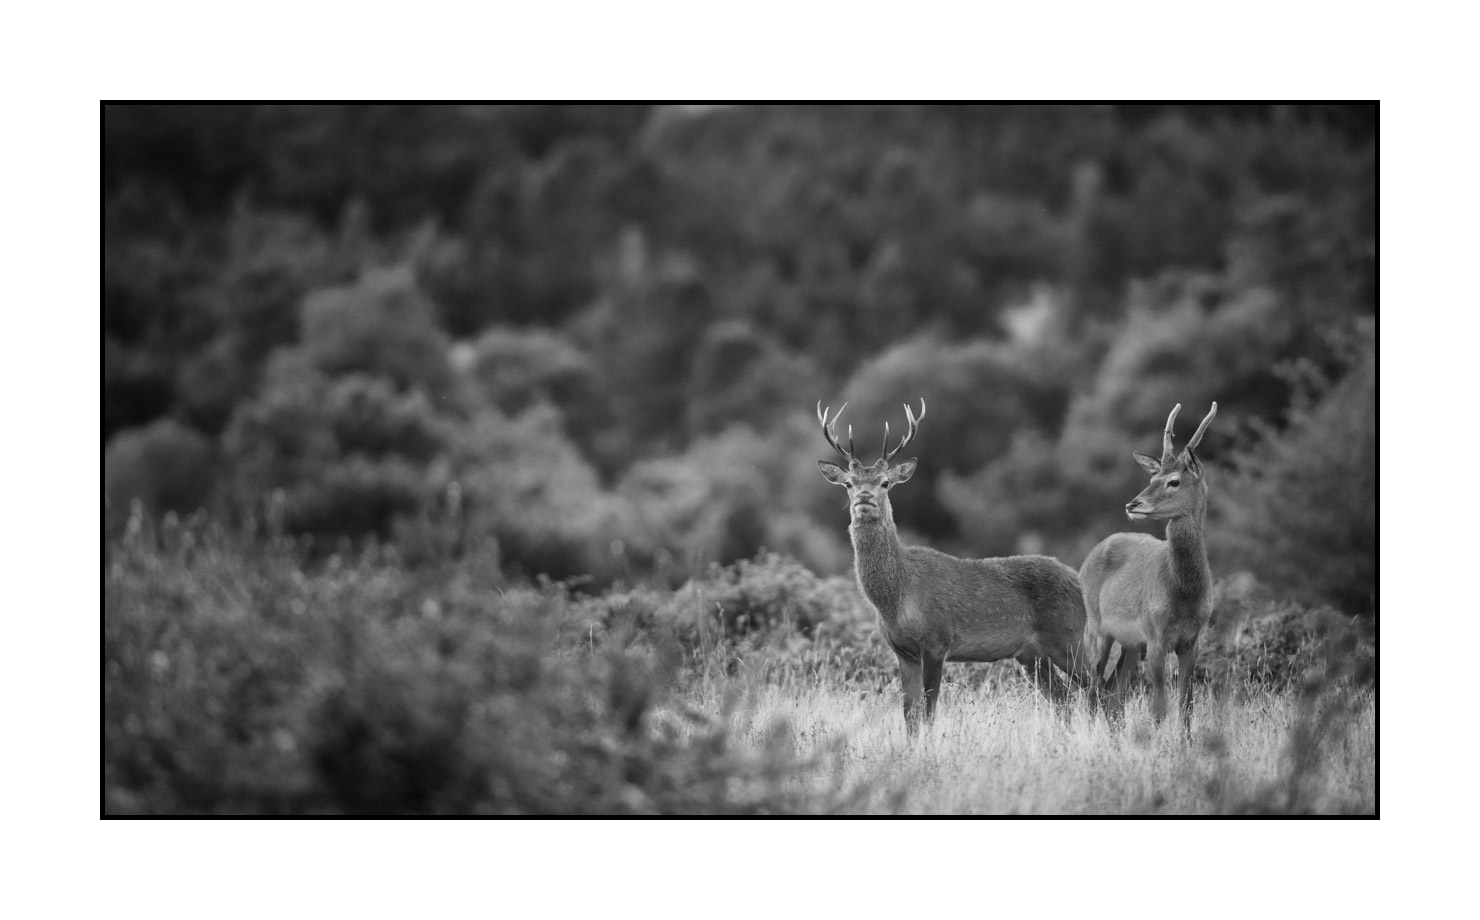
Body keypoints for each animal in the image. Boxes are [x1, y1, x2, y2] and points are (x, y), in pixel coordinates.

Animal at [816, 398, 1095, 735]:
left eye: (885, 482)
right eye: (848, 483)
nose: (865, 498)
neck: (895, 598)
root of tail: (1079, 579)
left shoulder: (937, 641)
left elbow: (928, 712)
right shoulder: (902, 651)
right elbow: (909, 715)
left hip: (1068, 636)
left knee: (1097, 686)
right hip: (1031, 654)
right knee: (1064, 698)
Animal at [1080, 402, 1218, 738]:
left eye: (1173, 481)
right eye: (1152, 479)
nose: (1133, 505)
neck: (1184, 595)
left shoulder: (1192, 641)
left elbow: (1186, 706)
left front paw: (1186, 745)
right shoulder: (1155, 637)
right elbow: (1159, 708)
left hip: (1130, 644)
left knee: (1113, 691)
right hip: (1096, 627)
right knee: (1092, 687)